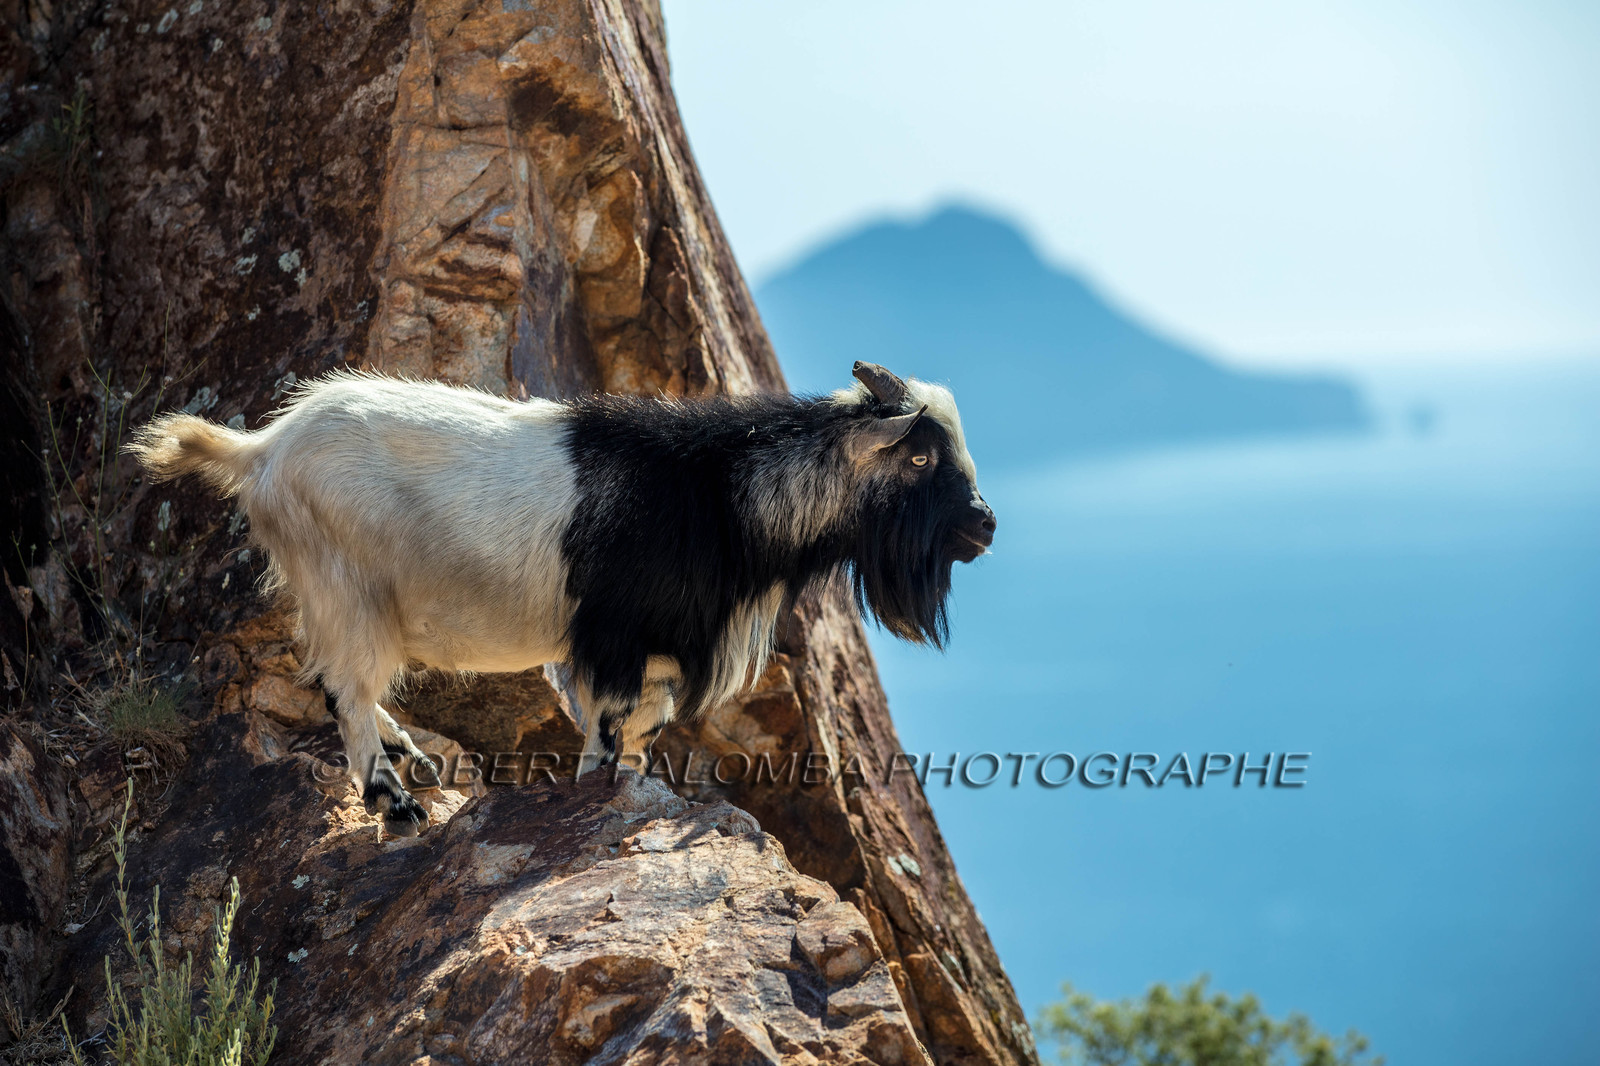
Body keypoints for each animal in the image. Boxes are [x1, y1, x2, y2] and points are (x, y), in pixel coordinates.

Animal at [127, 362, 996, 835]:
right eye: (920, 455)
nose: (984, 525)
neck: (716, 492)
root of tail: (263, 450)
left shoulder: (656, 652)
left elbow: (642, 733)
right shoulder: (612, 641)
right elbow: (608, 732)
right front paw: (592, 794)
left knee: (346, 686)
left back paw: (412, 756)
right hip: (349, 589)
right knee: (344, 690)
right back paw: (393, 802)